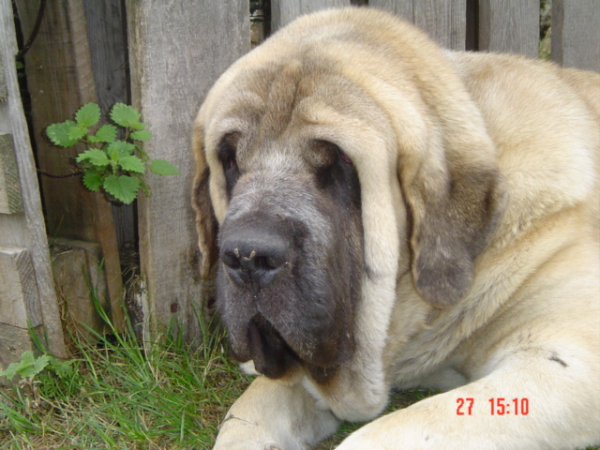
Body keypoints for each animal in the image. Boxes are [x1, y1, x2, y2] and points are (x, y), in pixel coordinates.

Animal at [192, 7, 600, 450]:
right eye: (230, 158)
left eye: (341, 162)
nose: (247, 256)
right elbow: (247, 415)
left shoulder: (564, 361)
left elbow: (387, 431)